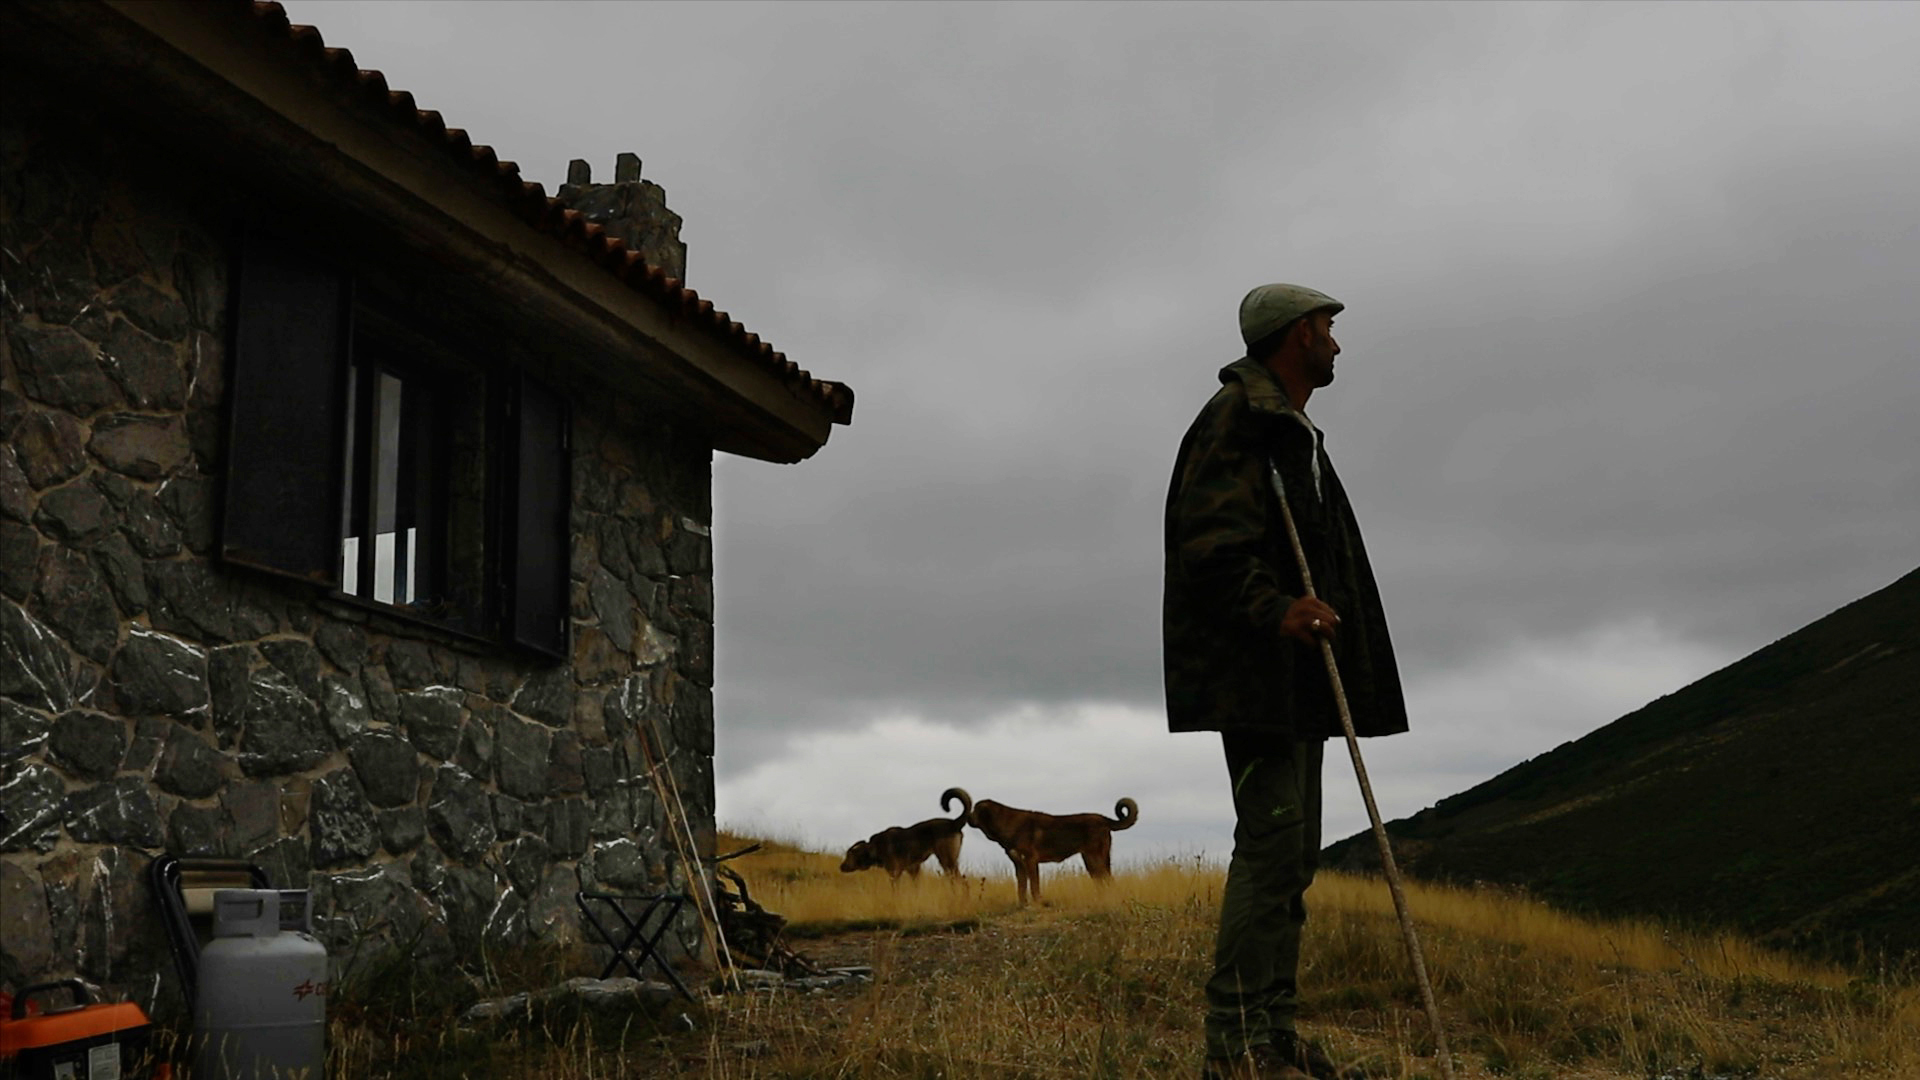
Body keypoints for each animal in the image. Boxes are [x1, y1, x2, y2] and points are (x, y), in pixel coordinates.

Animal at [840, 787, 975, 880]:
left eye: (849, 855)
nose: (841, 867)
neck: (874, 847)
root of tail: (954, 823)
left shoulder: (894, 872)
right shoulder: (913, 869)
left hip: (946, 860)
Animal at [967, 791, 1128, 899]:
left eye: (975, 809)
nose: (967, 816)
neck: (1006, 824)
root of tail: (1103, 819)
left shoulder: (1030, 860)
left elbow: (1034, 885)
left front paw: (1037, 902)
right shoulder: (1019, 864)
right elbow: (1021, 887)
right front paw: (1022, 905)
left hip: (1095, 858)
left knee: (1107, 880)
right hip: (1091, 861)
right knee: (1102, 881)